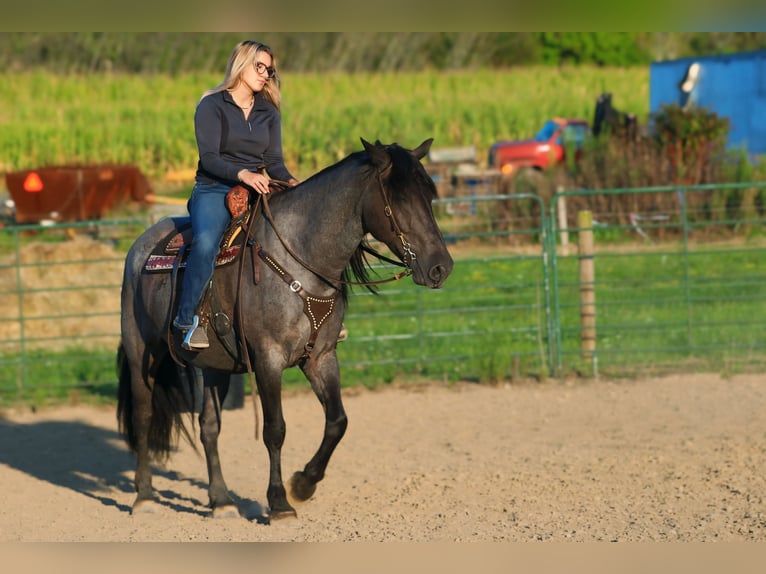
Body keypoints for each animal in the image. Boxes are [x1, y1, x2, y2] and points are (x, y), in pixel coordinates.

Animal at [116, 138, 452, 520]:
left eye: (429, 194)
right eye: (400, 200)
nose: (441, 267)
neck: (300, 258)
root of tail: (141, 246)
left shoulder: (321, 357)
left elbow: (338, 421)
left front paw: (303, 485)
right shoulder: (269, 359)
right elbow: (275, 429)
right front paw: (278, 502)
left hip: (214, 366)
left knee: (209, 427)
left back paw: (222, 501)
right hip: (143, 351)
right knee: (143, 416)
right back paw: (144, 496)